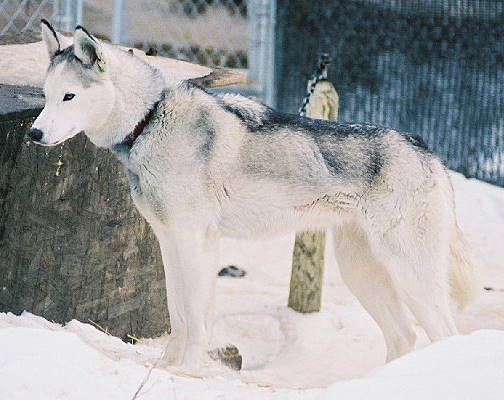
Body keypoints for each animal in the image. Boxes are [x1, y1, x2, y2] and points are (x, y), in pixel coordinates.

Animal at [29, 20, 478, 368]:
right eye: (46, 96)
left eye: (70, 96)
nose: (33, 134)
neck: (150, 119)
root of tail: (429, 152)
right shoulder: (171, 242)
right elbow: (180, 315)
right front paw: (169, 366)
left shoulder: (194, 241)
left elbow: (195, 319)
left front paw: (187, 371)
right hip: (362, 272)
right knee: (404, 336)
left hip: (409, 274)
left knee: (446, 335)